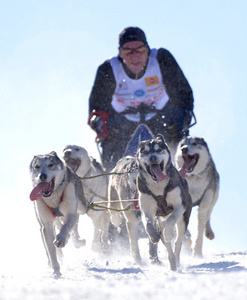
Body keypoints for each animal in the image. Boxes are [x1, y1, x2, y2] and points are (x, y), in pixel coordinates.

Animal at [136, 135, 192, 270]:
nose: (153, 157)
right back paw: (172, 263)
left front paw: (168, 233)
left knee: (177, 242)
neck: (158, 187)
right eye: (145, 152)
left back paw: (177, 260)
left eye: (158, 150)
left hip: (183, 220)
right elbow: (148, 223)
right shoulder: (146, 210)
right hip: (160, 221)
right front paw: (152, 235)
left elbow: (171, 220)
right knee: (167, 246)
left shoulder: (179, 205)